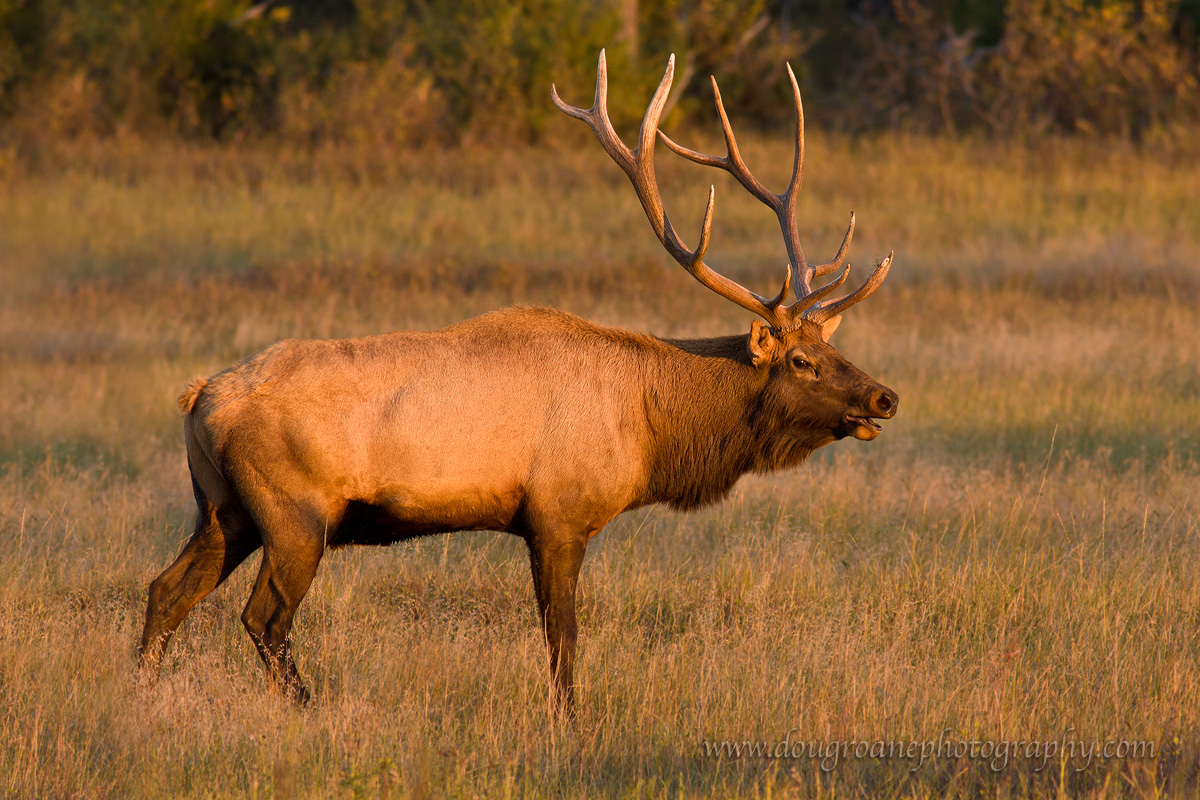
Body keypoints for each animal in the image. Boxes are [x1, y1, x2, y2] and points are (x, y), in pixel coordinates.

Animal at [138, 51, 898, 713]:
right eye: (801, 361)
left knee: (164, 592)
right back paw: (309, 707)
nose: (883, 396)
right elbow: (563, 641)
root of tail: (198, 397)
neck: (651, 428)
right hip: (294, 512)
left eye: (834, 348)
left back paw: (141, 698)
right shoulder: (558, 514)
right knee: (263, 617)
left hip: (223, 507)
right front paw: (572, 724)